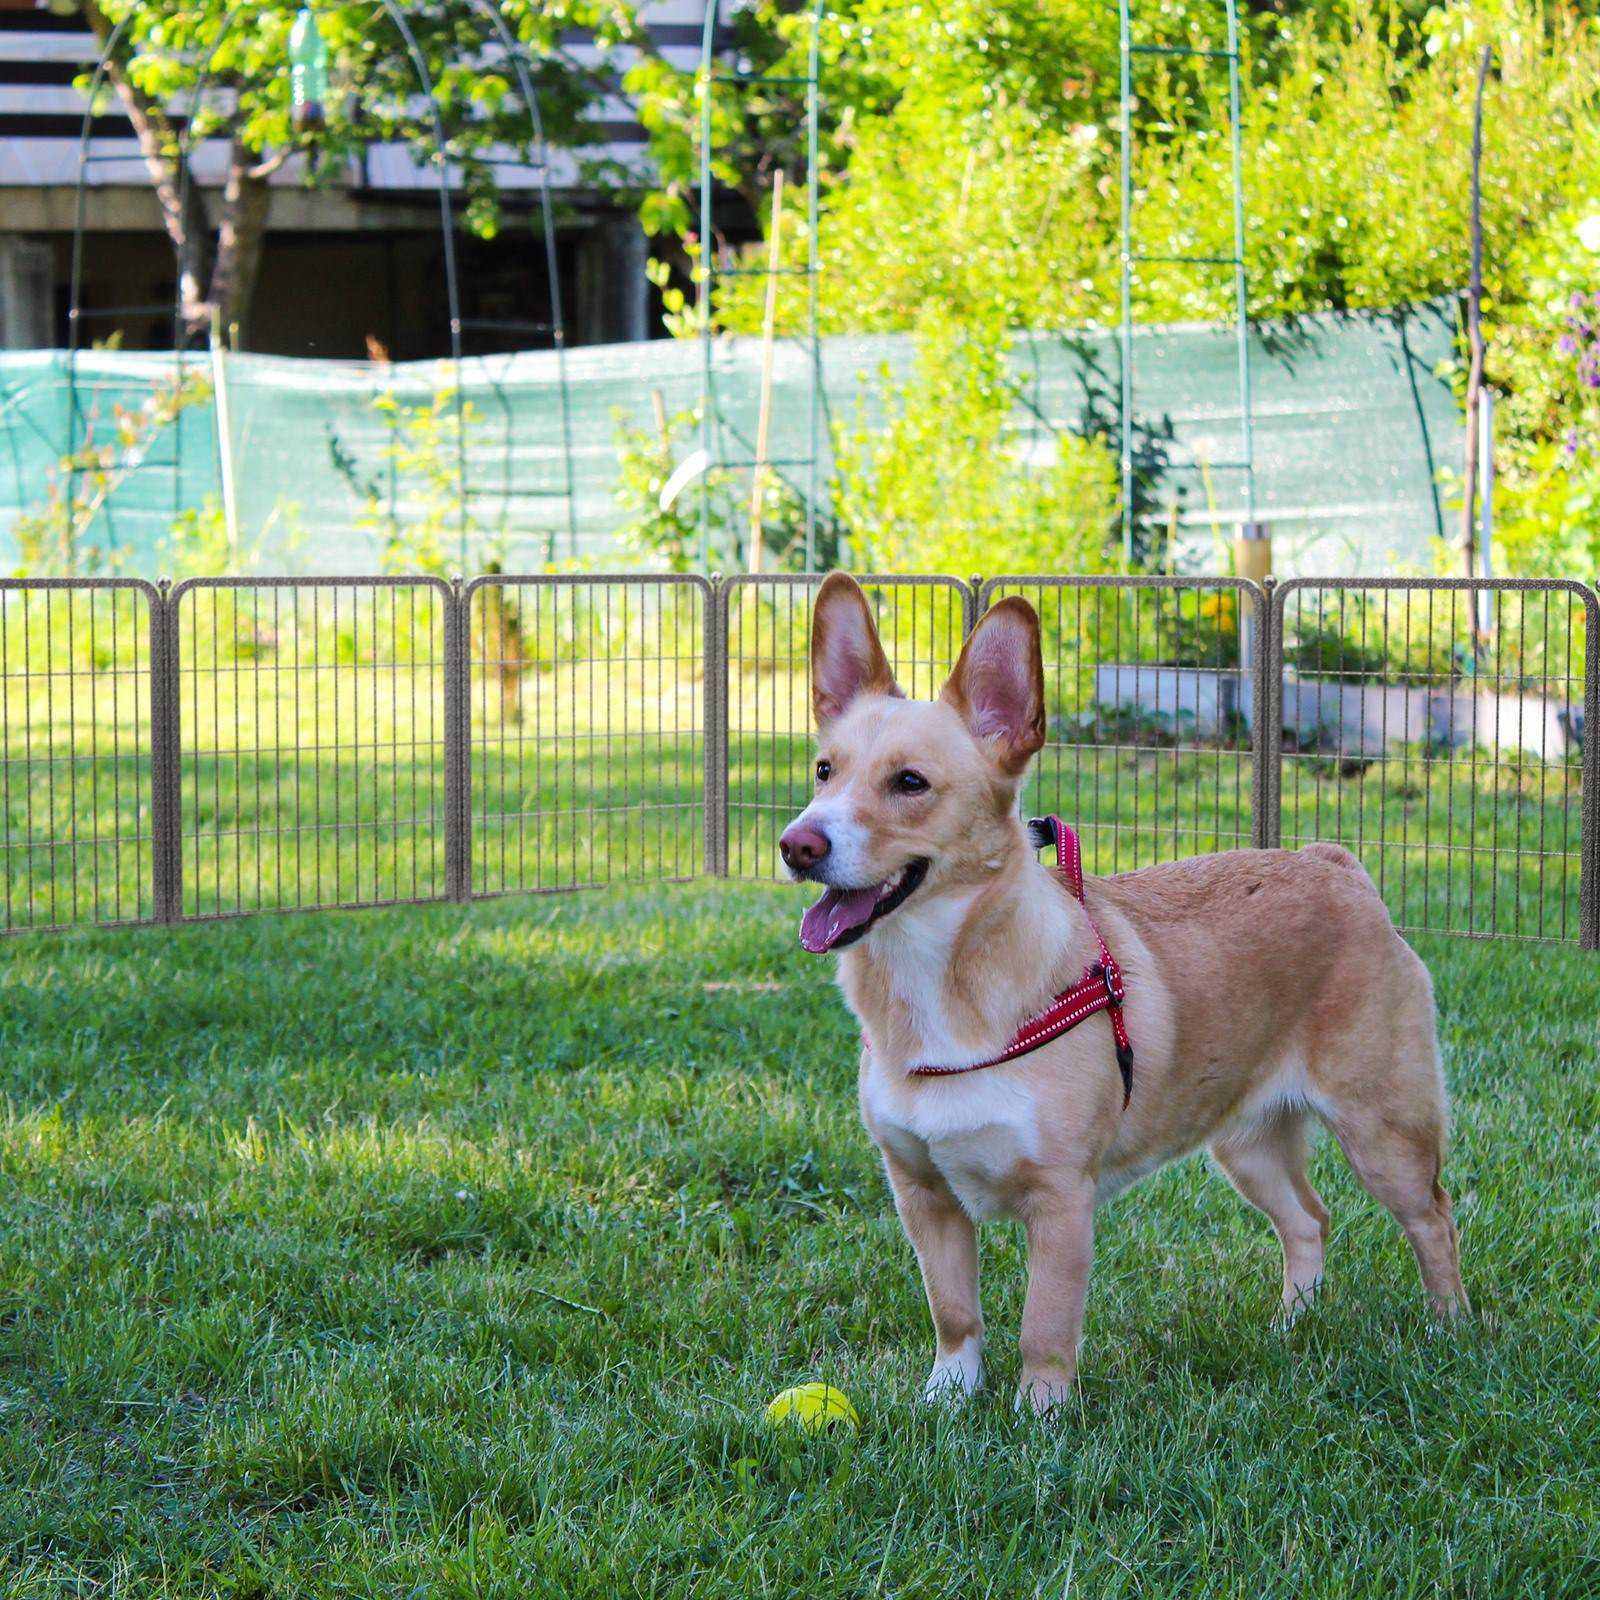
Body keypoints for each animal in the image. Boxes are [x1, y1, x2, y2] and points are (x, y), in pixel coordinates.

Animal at [774, 576, 1465, 1414]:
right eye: (823, 771)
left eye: (910, 783)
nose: (797, 845)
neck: (939, 987)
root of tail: (1335, 865)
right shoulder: (923, 1196)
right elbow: (955, 1315)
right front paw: (947, 1400)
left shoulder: (1061, 1202)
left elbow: (1043, 1329)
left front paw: (1038, 1418)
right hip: (1247, 1144)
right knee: (1309, 1221)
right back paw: (1292, 1327)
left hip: (1384, 1134)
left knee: (1433, 1220)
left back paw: (1452, 1332)